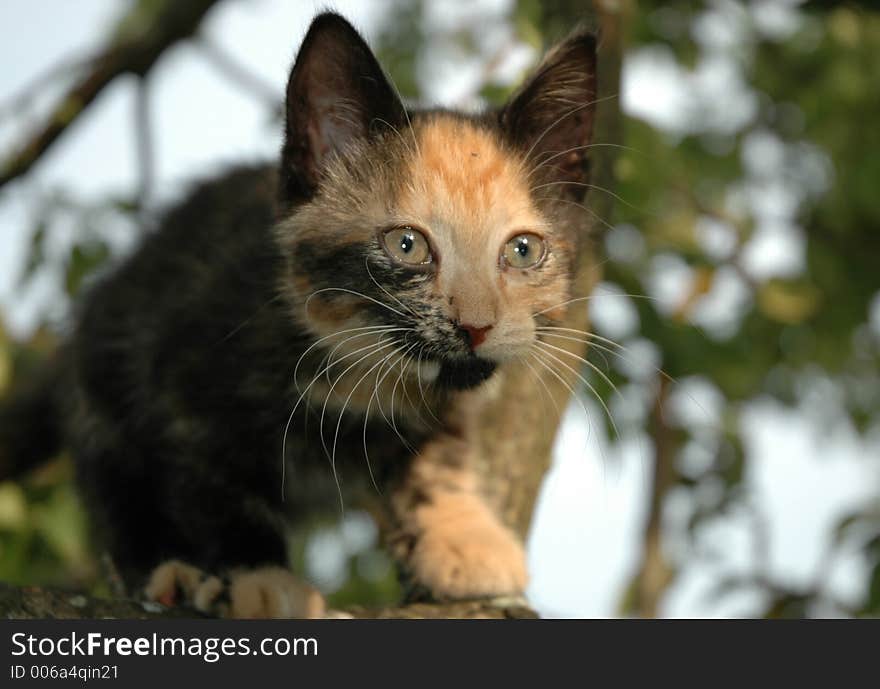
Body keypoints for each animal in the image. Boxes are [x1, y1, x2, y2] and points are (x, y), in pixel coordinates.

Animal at [0, 10, 600, 616]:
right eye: (407, 245)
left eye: (522, 250)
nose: (476, 327)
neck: (356, 359)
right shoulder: (184, 375)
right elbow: (218, 489)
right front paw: (262, 578)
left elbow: (438, 456)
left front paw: (462, 538)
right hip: (106, 368)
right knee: (116, 485)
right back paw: (166, 571)